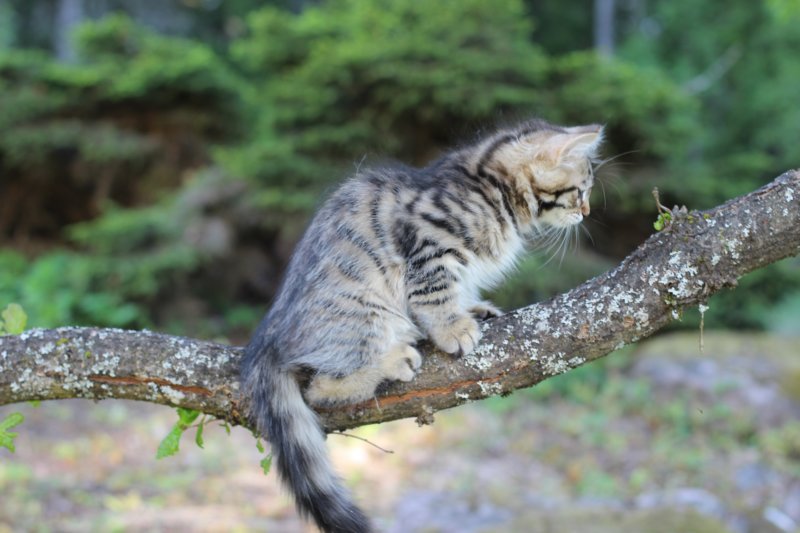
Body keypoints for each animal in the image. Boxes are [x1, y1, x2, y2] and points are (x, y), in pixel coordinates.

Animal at [241, 118, 603, 533]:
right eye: (580, 190)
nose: (587, 211)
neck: (487, 185)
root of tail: (268, 338)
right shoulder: (429, 245)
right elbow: (435, 295)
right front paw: (452, 330)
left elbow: (460, 290)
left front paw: (473, 308)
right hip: (367, 315)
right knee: (320, 388)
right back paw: (391, 361)